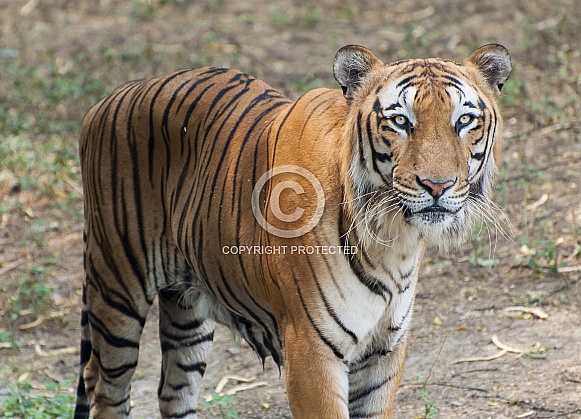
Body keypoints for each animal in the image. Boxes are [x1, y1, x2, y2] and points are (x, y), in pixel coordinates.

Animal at [73, 41, 512, 416]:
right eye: (401, 121)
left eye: (464, 120)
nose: (437, 186)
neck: (391, 239)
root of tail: (104, 102)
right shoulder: (311, 350)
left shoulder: (385, 350)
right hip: (117, 289)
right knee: (105, 388)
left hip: (186, 309)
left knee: (173, 391)